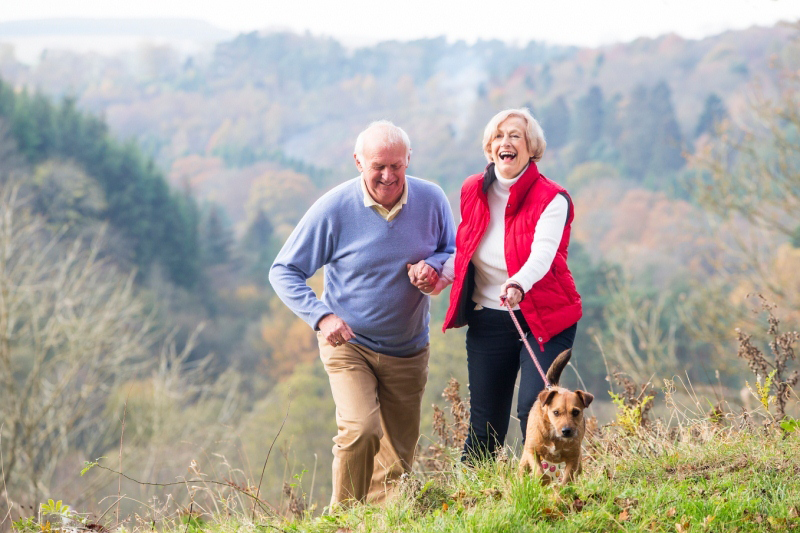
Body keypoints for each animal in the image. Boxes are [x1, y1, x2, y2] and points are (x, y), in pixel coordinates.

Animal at [520, 348, 592, 484]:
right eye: (556, 412)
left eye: (576, 412)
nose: (566, 431)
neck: (555, 436)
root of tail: (554, 387)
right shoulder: (532, 451)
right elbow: (539, 473)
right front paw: (544, 480)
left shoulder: (573, 458)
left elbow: (567, 478)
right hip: (525, 458)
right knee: (522, 469)